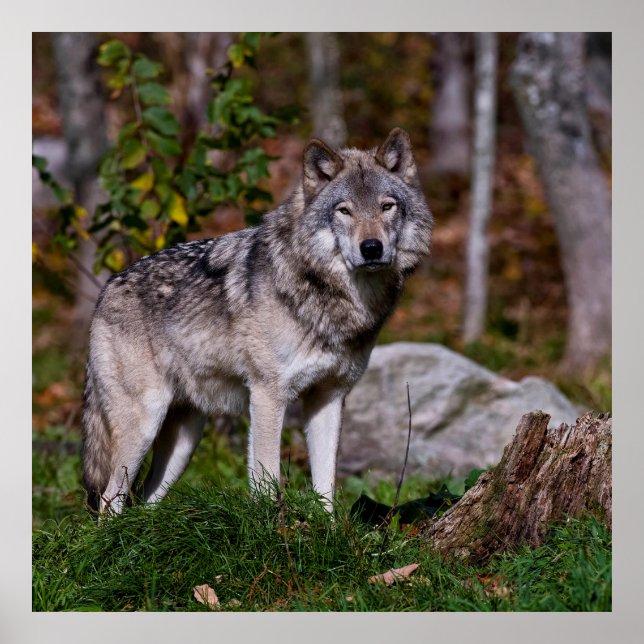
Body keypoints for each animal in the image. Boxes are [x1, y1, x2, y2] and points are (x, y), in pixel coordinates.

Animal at [81, 127, 432, 514]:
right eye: (344, 211)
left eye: (387, 206)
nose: (371, 248)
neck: (327, 296)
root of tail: (108, 287)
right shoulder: (267, 395)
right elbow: (266, 479)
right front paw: (274, 526)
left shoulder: (329, 396)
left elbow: (326, 485)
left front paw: (326, 527)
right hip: (144, 424)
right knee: (108, 501)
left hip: (184, 443)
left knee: (142, 504)